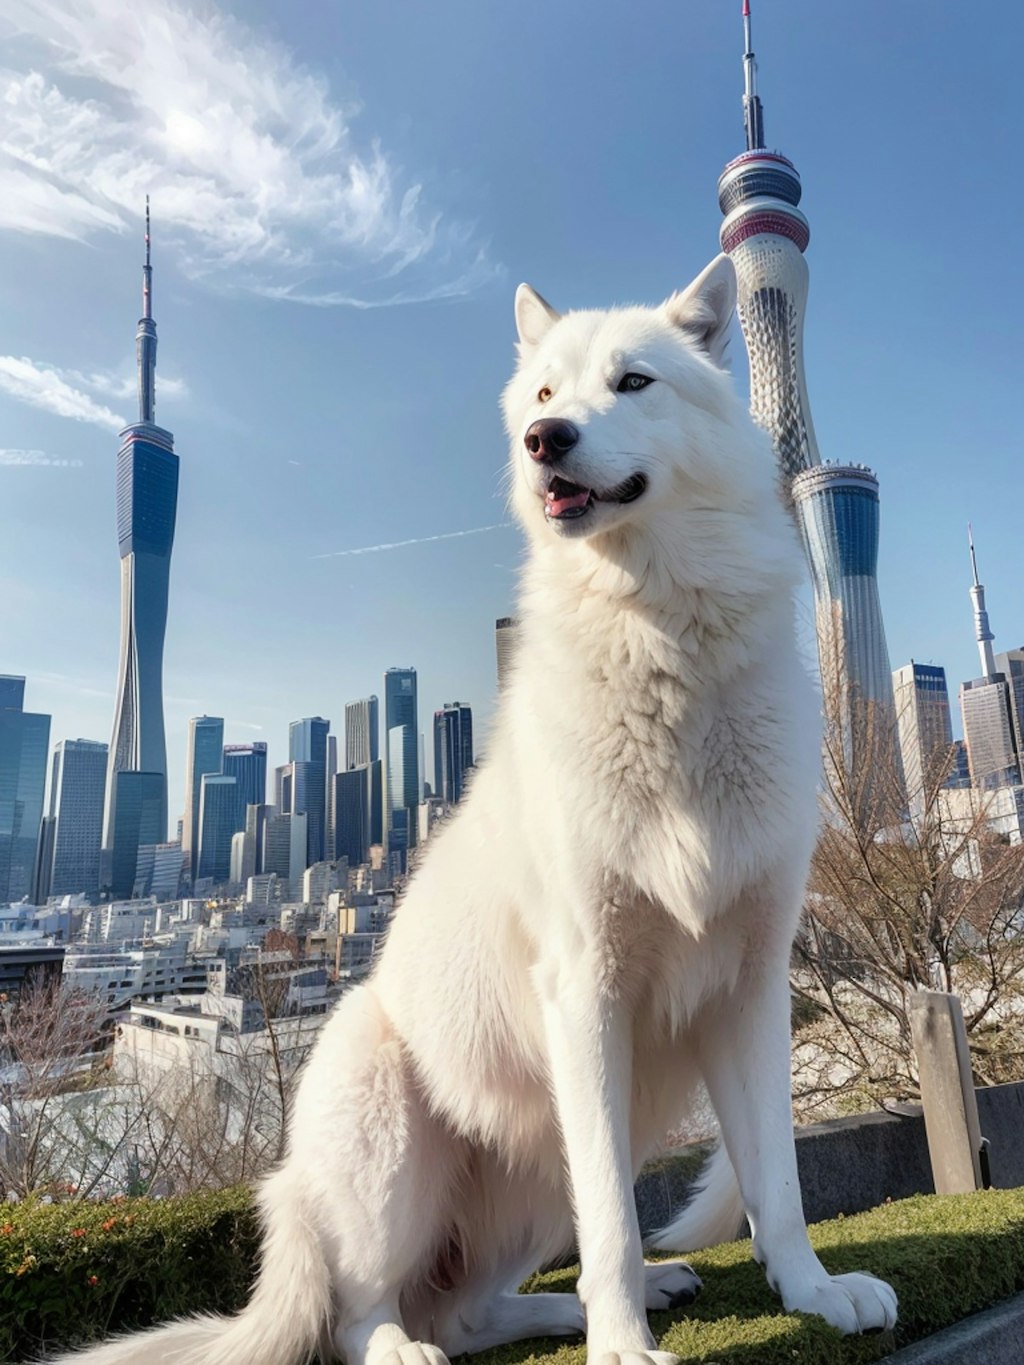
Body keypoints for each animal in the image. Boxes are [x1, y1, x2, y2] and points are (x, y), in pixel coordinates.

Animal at [58, 257, 895, 1365]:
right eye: (542, 395)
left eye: (632, 383)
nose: (548, 439)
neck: (659, 636)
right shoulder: (584, 990)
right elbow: (614, 1226)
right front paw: (623, 1346)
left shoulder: (753, 985)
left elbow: (779, 1181)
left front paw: (811, 1291)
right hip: (387, 1133)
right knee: (361, 1312)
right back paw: (412, 1344)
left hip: (549, 1167)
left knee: (474, 1307)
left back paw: (581, 1302)